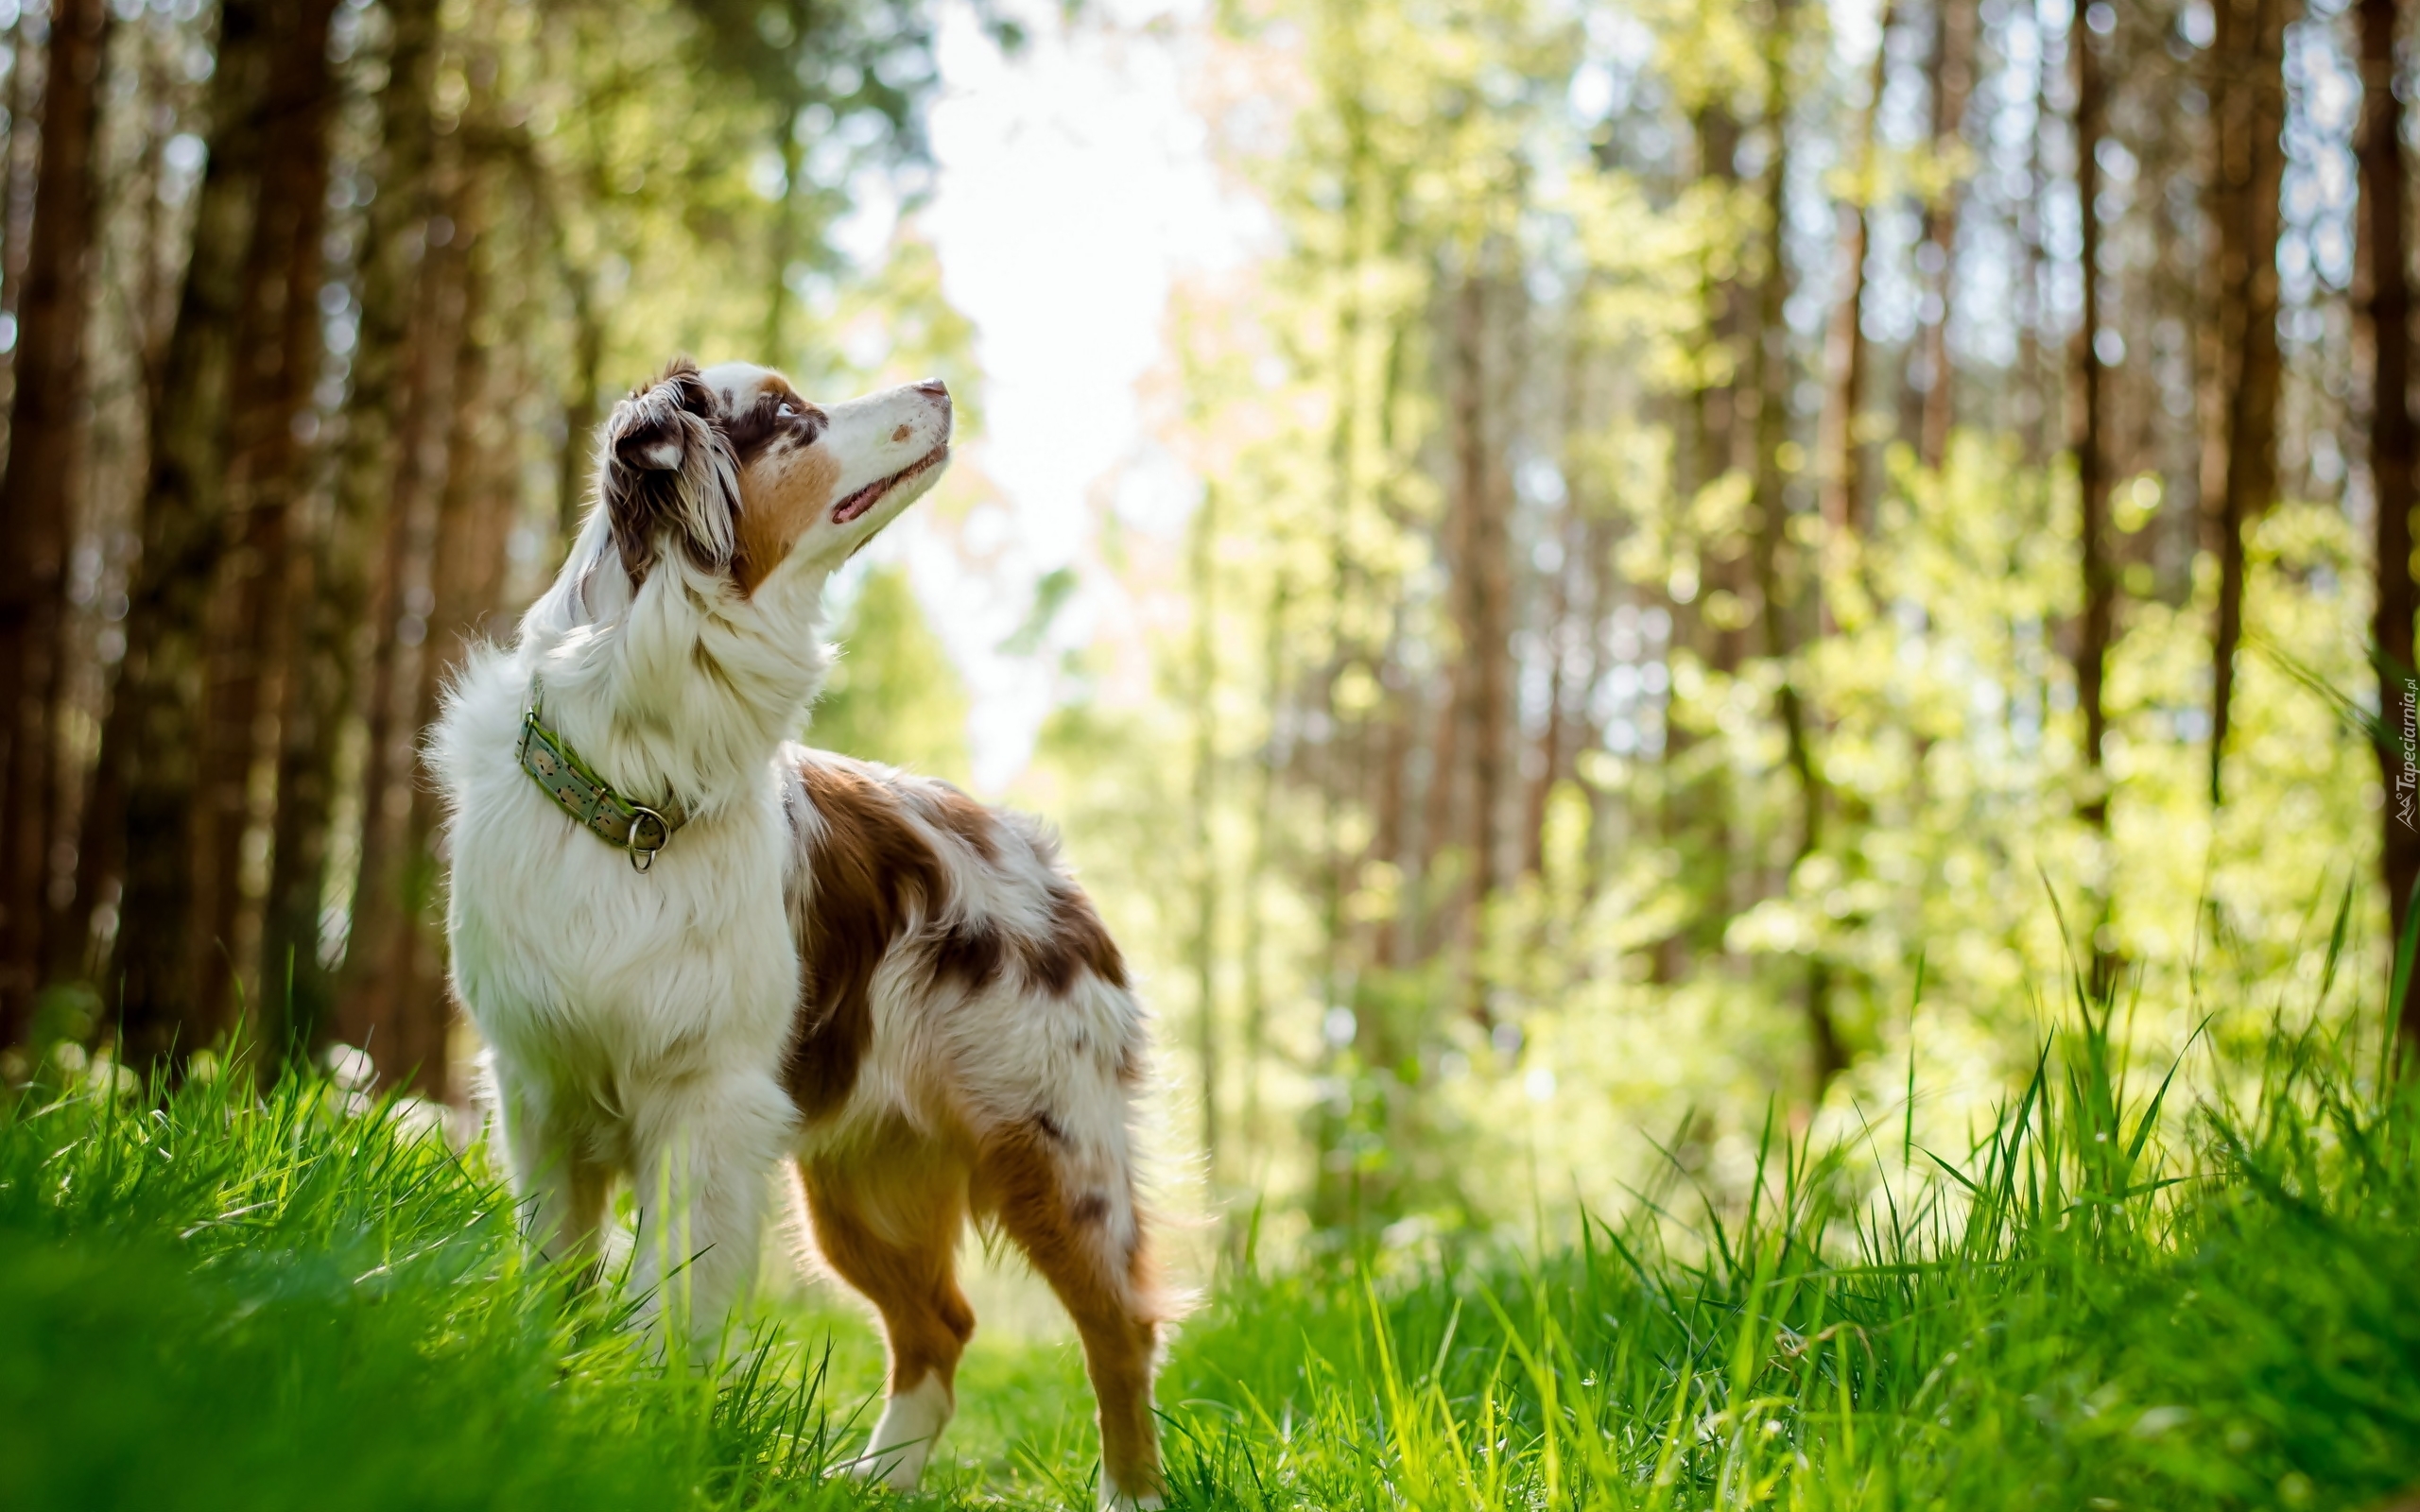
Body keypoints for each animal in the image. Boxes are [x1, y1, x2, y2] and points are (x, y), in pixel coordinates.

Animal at [433, 360, 1171, 1500]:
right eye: (789, 416)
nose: (938, 382)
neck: (638, 787)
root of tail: (1048, 861)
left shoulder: (706, 1105)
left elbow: (660, 1308)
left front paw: (636, 1439)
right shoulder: (540, 1095)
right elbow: (554, 1288)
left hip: (1054, 1150)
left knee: (1120, 1331)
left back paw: (1126, 1494)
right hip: (862, 1185)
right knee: (942, 1326)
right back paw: (875, 1483)